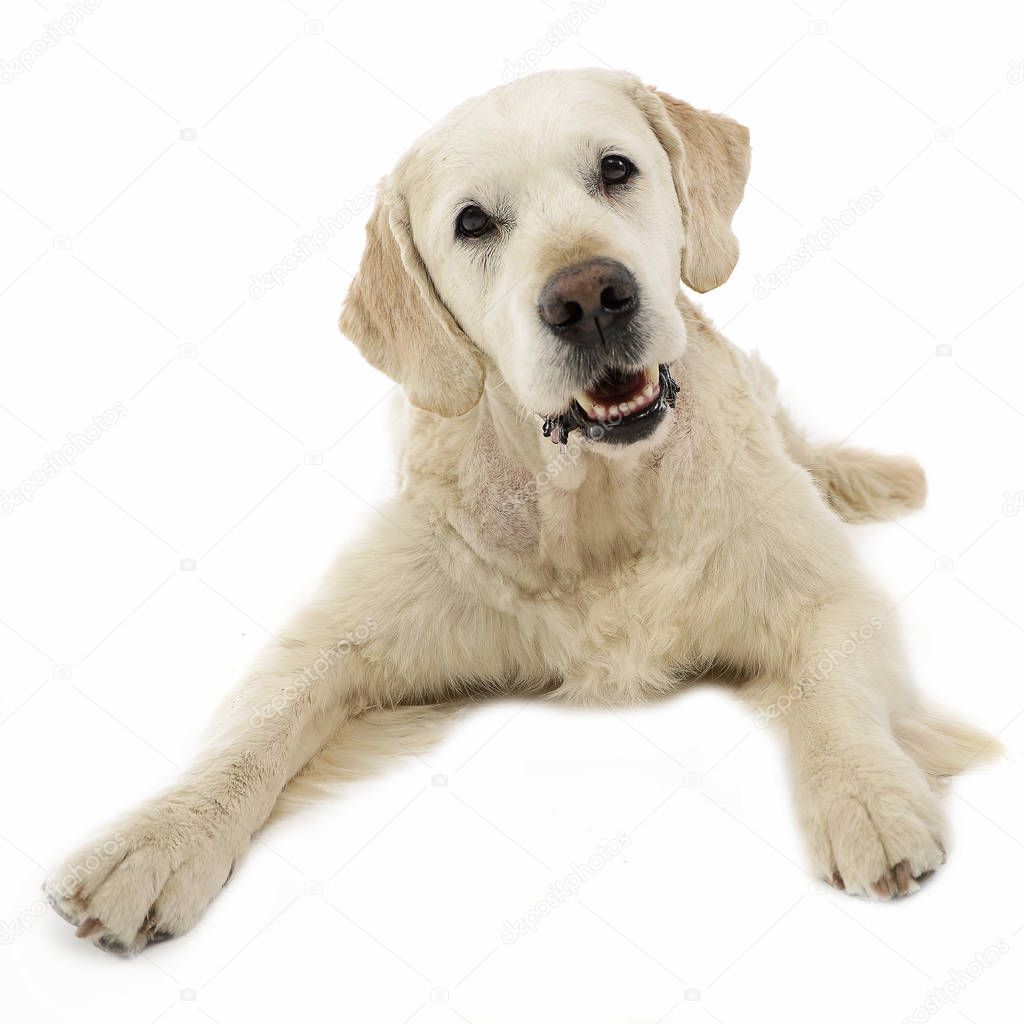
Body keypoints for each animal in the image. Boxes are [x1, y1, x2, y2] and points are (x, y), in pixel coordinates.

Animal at [46, 70, 999, 950]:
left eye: (615, 169)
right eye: (473, 223)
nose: (589, 298)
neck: (597, 497)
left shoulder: (824, 591)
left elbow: (832, 685)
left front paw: (868, 798)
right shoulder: (341, 635)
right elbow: (254, 732)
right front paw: (157, 839)